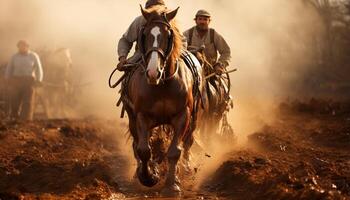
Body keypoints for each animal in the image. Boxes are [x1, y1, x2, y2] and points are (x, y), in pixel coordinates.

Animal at [122, 5, 205, 195]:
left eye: (168, 35)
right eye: (144, 34)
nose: (153, 72)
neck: (163, 84)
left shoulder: (183, 115)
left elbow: (175, 150)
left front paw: (172, 184)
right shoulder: (142, 116)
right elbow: (144, 150)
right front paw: (149, 177)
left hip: (194, 117)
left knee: (188, 141)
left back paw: (185, 168)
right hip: (132, 118)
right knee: (137, 145)